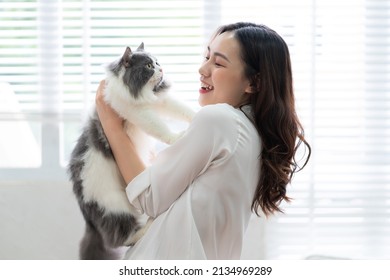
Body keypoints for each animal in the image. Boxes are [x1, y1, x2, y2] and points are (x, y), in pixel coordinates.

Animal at [68, 42, 195, 260]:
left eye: (157, 62)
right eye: (148, 66)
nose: (161, 69)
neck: (142, 94)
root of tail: (88, 218)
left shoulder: (161, 102)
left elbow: (183, 110)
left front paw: (200, 115)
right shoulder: (139, 113)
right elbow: (161, 128)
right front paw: (177, 138)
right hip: (115, 206)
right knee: (122, 237)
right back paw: (148, 226)